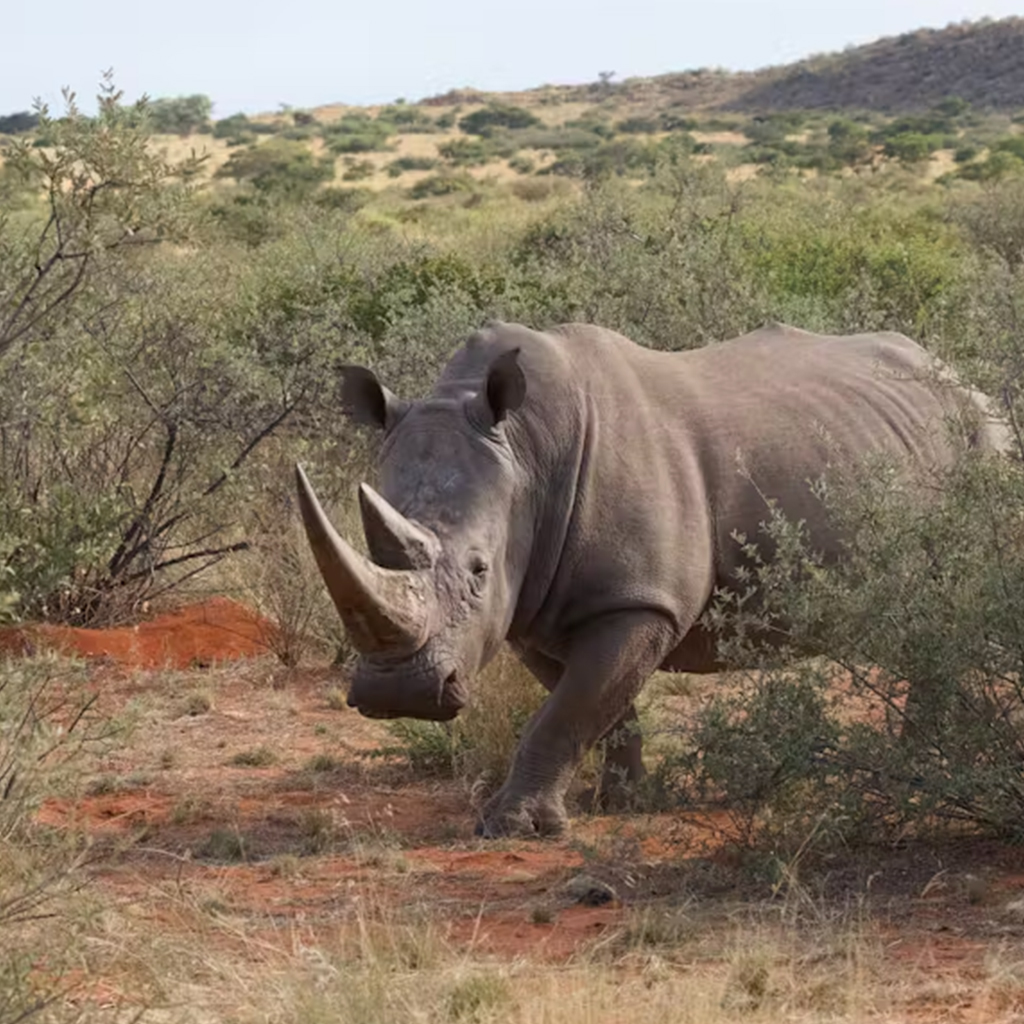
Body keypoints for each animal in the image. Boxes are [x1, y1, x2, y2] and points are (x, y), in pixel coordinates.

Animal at [296, 320, 1007, 837]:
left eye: (478, 570)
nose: (400, 694)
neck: (524, 450)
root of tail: (968, 381)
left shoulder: (638, 601)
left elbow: (566, 710)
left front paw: (514, 826)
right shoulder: (537, 610)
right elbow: (597, 706)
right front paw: (624, 800)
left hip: (988, 440)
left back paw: (917, 765)